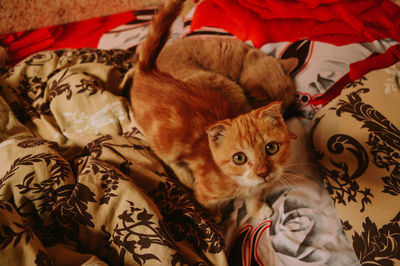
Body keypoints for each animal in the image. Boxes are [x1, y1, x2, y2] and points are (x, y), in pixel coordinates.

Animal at [130, 0, 292, 220]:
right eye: (239, 158)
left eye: (271, 148)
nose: (263, 172)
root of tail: (149, 72)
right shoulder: (205, 192)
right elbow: (208, 206)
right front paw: (214, 219)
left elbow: (253, 197)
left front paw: (257, 209)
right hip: (165, 139)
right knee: (164, 155)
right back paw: (184, 175)